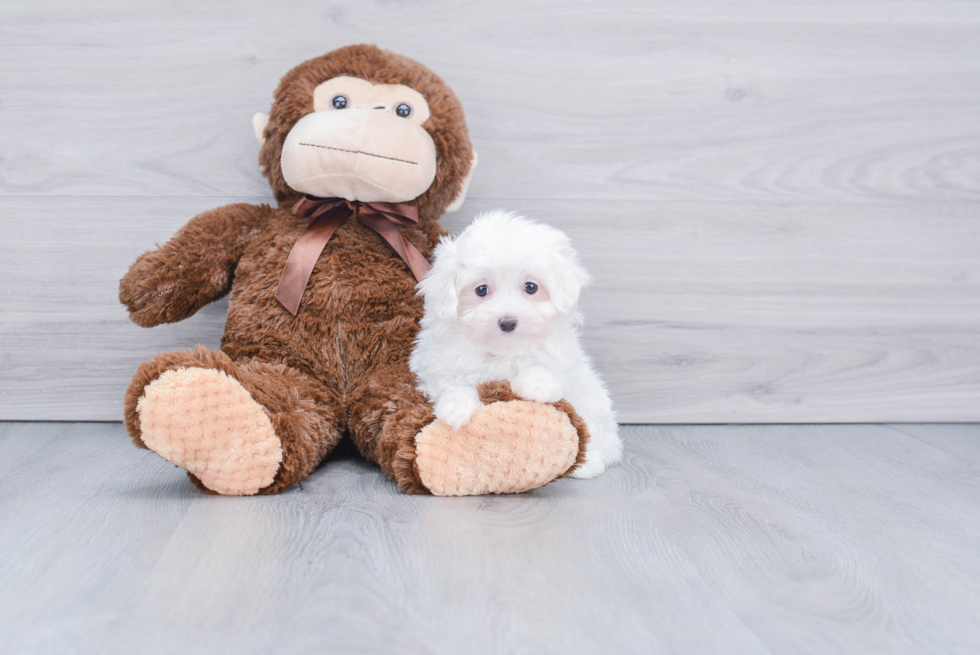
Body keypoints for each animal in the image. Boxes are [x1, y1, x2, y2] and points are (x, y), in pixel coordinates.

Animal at [410, 213, 624, 480]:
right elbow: (452, 382)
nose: (508, 322)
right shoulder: (437, 362)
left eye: (531, 287)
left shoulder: (562, 360)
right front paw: (456, 407)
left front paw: (537, 385)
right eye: (481, 290)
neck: (504, 350)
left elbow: (544, 367)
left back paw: (588, 463)